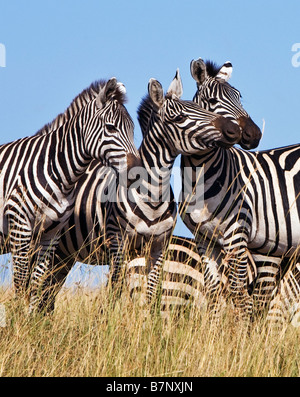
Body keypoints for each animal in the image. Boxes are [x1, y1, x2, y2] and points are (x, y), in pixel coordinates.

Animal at [0, 78, 137, 312]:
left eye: (133, 129)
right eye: (110, 128)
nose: (136, 169)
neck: (56, 171)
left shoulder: (50, 234)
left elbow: (37, 283)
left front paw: (28, 319)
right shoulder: (20, 225)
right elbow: (21, 281)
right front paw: (19, 319)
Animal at [39, 69, 243, 310]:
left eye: (199, 107)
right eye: (179, 118)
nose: (233, 130)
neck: (152, 193)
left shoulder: (159, 245)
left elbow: (153, 297)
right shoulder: (119, 245)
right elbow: (114, 293)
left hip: (64, 255)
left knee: (47, 295)